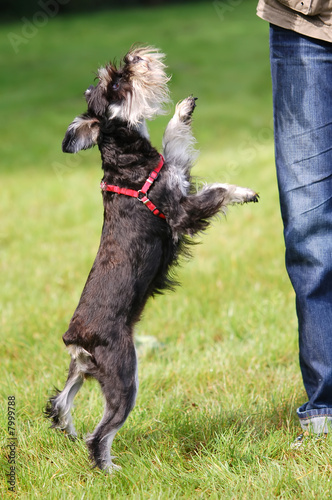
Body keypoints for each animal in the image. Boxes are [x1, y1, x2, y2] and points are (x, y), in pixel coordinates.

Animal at [46, 47, 260, 472]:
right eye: (117, 83)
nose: (134, 57)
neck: (126, 161)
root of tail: (76, 338)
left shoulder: (176, 170)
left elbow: (173, 138)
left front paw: (183, 110)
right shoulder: (181, 209)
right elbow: (218, 191)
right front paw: (244, 192)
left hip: (81, 368)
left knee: (61, 402)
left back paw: (70, 429)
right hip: (124, 377)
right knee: (101, 433)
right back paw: (109, 469)